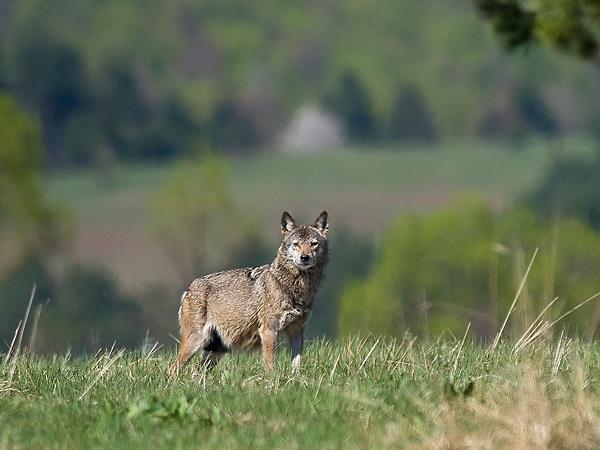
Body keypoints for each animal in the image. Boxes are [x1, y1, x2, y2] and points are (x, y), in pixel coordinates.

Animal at [168, 212, 328, 376]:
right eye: (296, 244)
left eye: (314, 244)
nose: (304, 257)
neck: (296, 287)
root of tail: (189, 288)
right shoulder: (268, 331)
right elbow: (271, 365)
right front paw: (273, 381)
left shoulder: (297, 331)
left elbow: (297, 364)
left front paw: (295, 379)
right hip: (195, 342)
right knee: (172, 369)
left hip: (216, 351)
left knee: (198, 372)